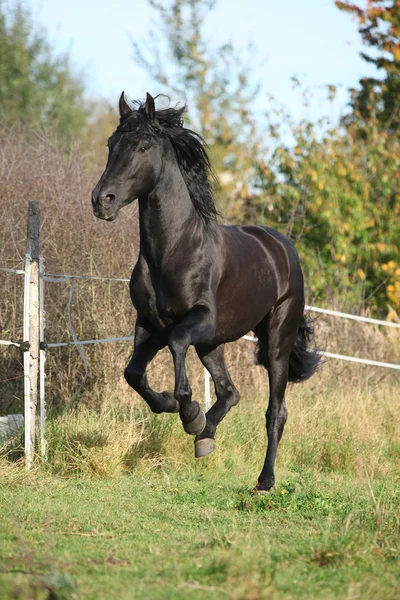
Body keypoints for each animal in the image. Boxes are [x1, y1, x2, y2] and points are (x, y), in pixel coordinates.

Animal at [90, 91, 318, 490]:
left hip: (275, 340)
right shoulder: (149, 324)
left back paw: (264, 480)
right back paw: (205, 436)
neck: (173, 251)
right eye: (110, 144)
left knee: (275, 412)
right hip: (214, 344)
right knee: (230, 392)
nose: (102, 200)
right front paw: (173, 407)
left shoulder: (199, 321)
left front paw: (187, 410)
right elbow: (132, 373)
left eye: (143, 146)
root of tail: (283, 248)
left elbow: (177, 345)